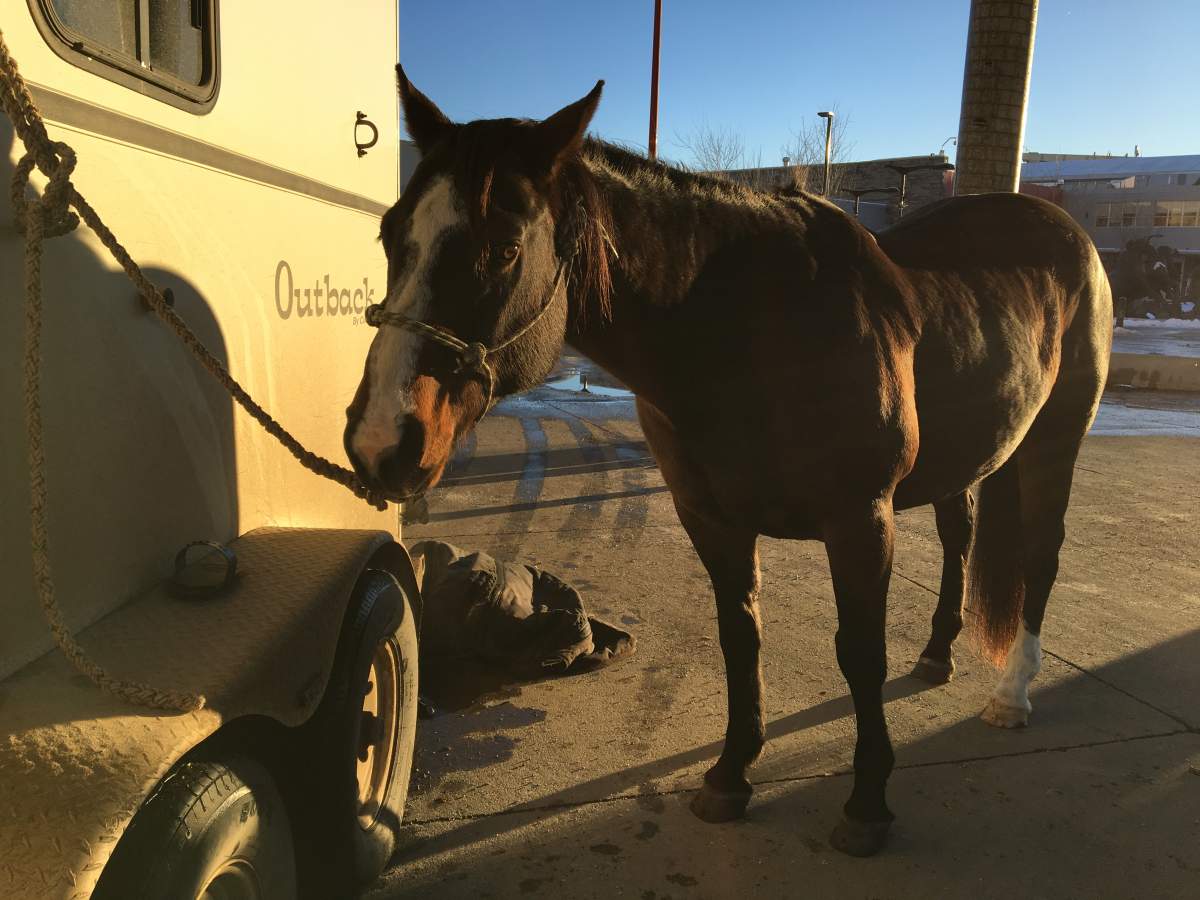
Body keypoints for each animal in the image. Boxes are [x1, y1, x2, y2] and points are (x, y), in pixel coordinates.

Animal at [344, 70, 1112, 857]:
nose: (381, 441)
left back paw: (1012, 694)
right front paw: (731, 775)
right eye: (389, 233)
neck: (750, 328)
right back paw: (937, 652)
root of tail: (1067, 232)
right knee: (960, 536)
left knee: (1040, 557)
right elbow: (740, 641)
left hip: (1056, 438)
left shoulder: (860, 519)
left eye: (502, 248)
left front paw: (867, 802)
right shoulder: (713, 520)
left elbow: (860, 653)